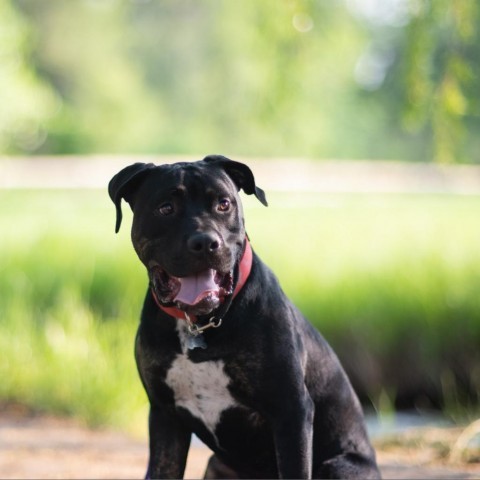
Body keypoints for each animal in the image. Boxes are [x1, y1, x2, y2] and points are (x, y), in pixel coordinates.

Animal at [108, 156, 378, 478]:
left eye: (223, 204)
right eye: (166, 208)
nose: (205, 242)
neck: (199, 325)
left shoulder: (291, 410)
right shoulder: (165, 416)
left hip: (337, 467)